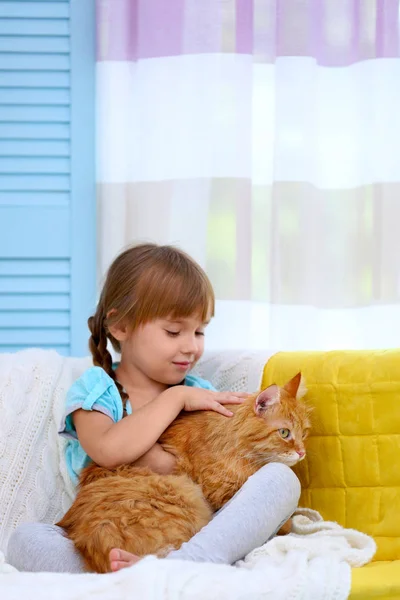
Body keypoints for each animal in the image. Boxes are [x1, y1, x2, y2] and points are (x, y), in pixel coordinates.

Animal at [57, 370, 310, 572]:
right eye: (285, 433)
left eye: (304, 433)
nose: (302, 452)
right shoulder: (220, 490)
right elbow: (287, 522)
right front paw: (288, 524)